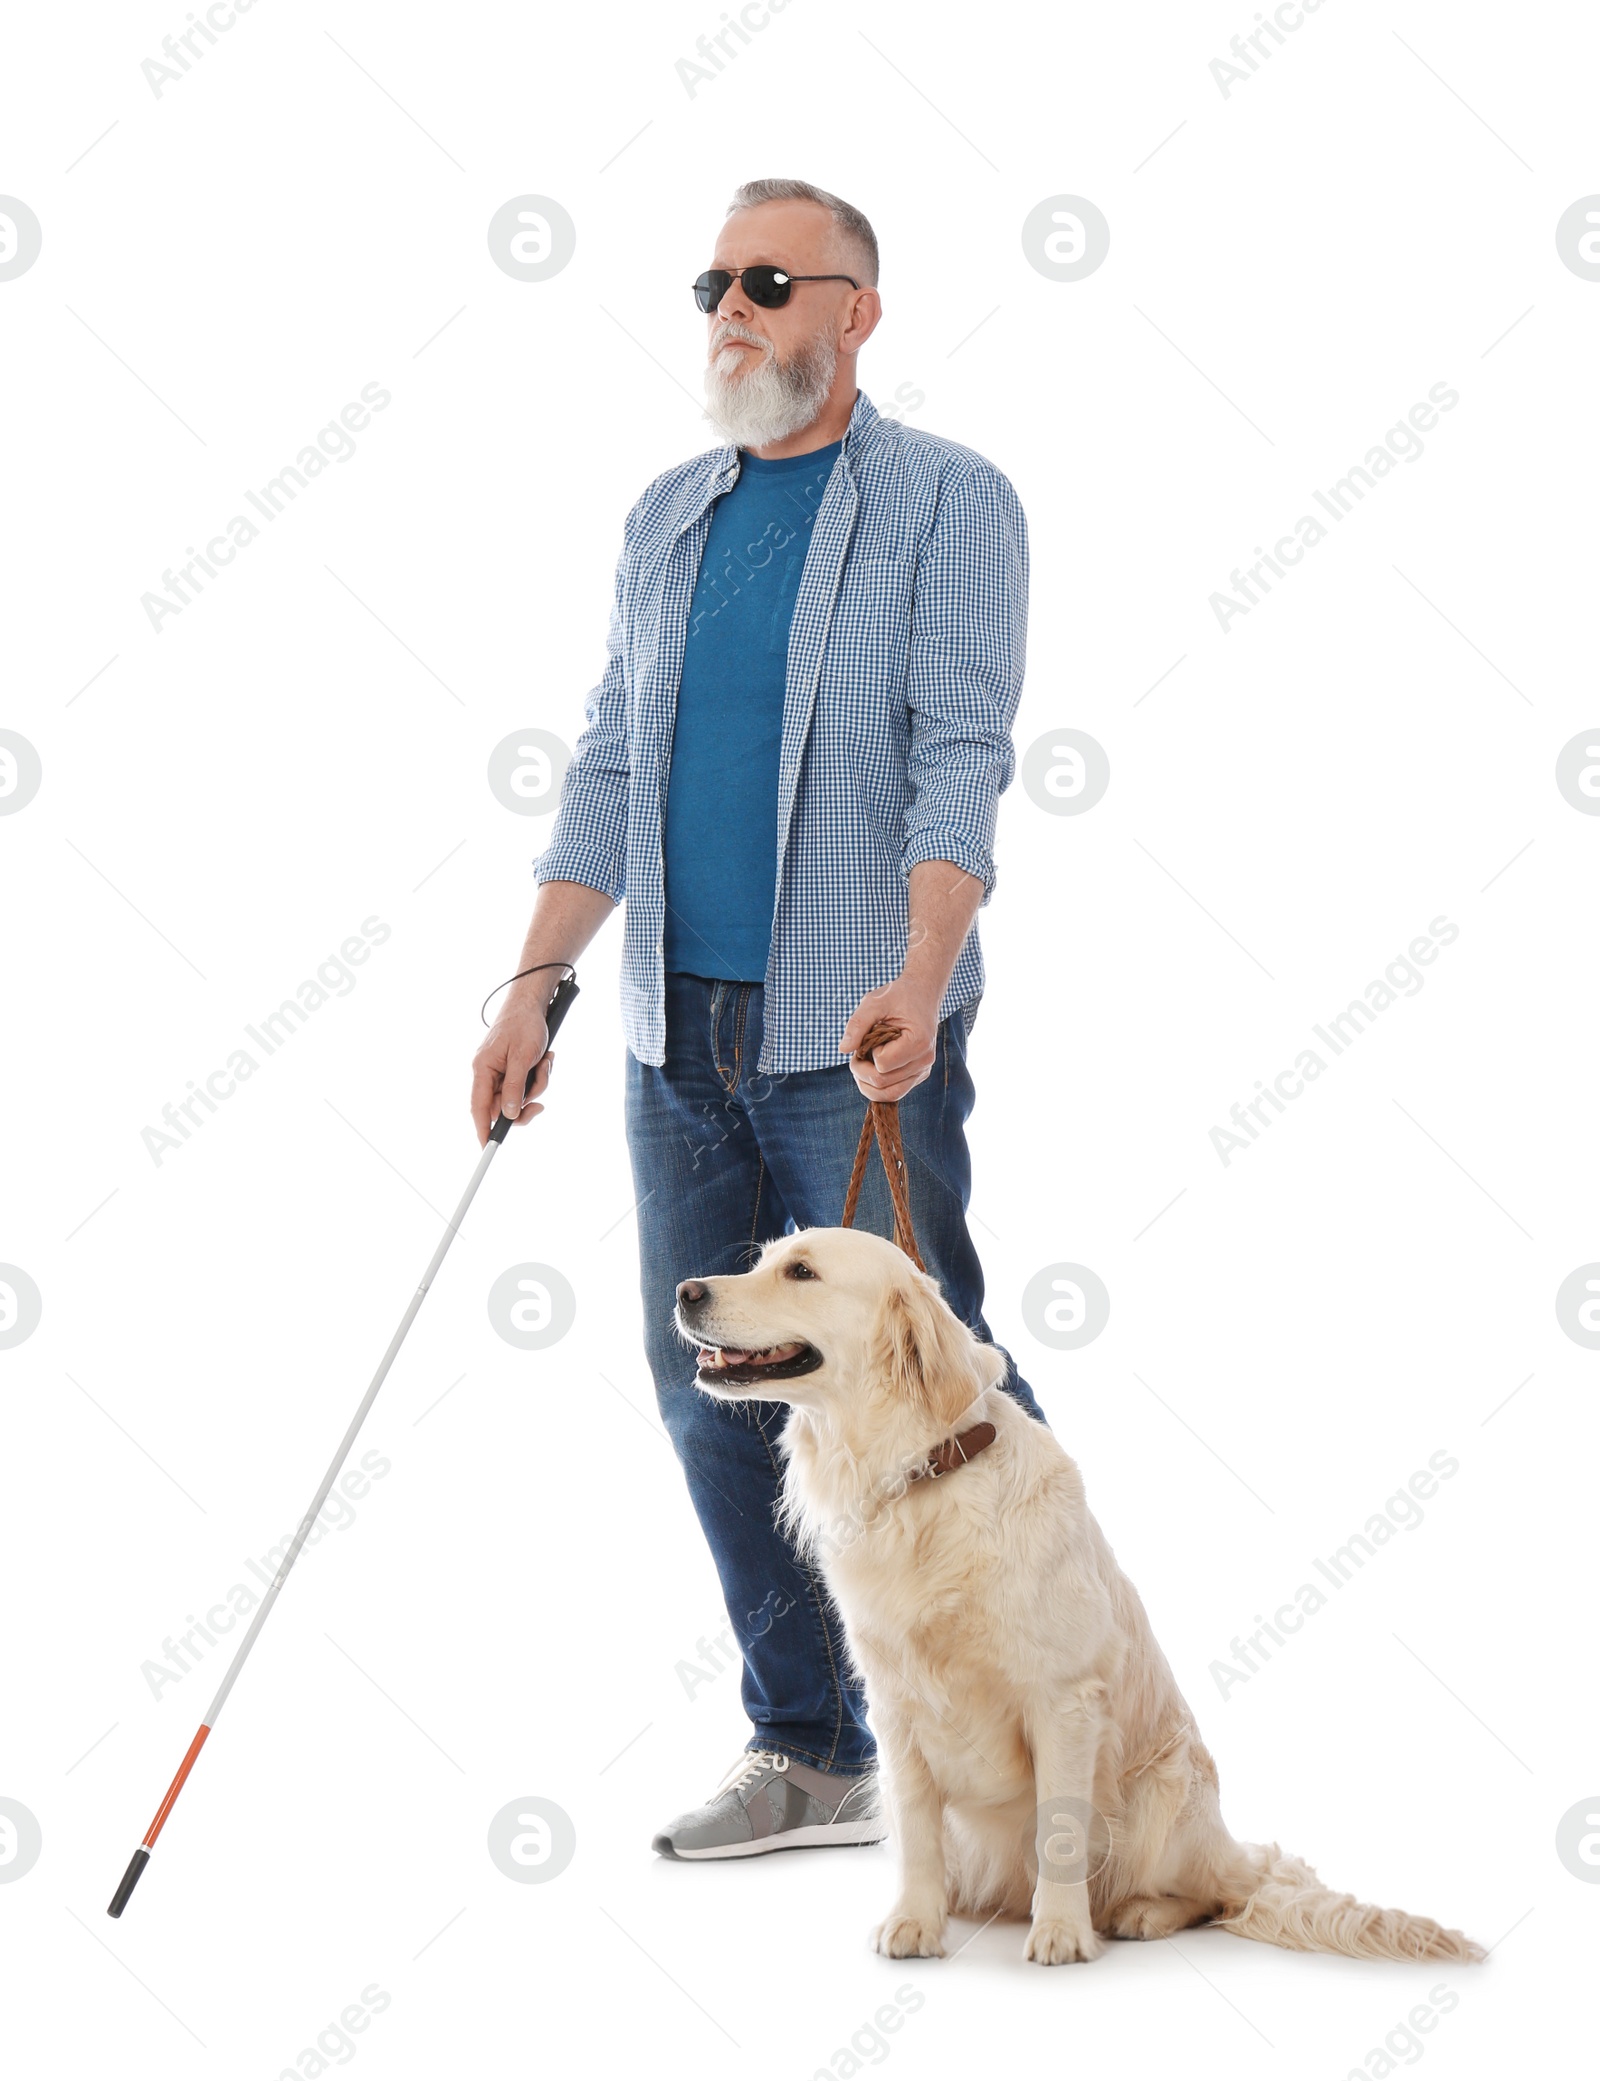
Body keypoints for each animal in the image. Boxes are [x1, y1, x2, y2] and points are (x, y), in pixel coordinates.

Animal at [665, 1231, 1481, 1964]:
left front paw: (1059, 1932)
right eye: (763, 1259)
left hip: (1166, 1792)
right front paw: (915, 1922)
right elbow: (920, 1837)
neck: (924, 1477)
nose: (684, 1290)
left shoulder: (1061, 1699)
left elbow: (1059, 1830)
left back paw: (1139, 1912)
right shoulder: (895, 1707)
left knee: (1211, 1897)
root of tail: (1228, 1851)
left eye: (802, 1272)